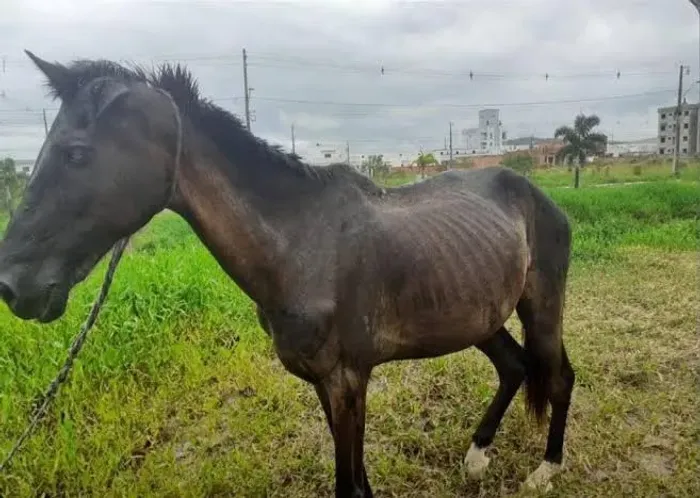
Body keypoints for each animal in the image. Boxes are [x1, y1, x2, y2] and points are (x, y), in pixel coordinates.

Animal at [0, 51, 575, 497]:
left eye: (76, 154)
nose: (11, 286)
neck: (301, 246)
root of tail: (533, 192)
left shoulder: (347, 380)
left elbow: (349, 485)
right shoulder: (324, 383)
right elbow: (358, 482)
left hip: (541, 307)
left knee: (558, 376)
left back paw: (545, 471)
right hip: (478, 315)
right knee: (514, 367)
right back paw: (477, 457)